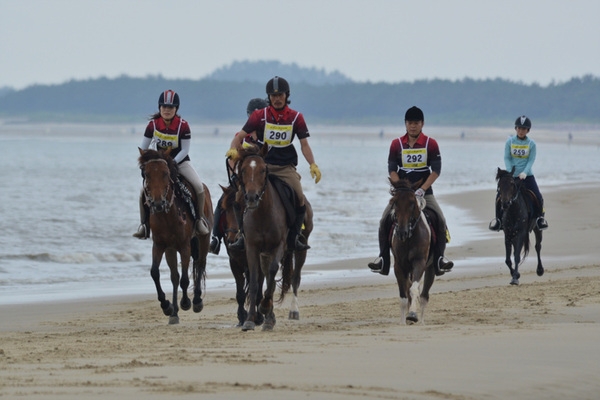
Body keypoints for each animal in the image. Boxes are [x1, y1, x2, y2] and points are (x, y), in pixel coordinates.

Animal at [137, 148, 213, 324]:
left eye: (165, 173)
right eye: (146, 174)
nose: (158, 204)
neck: (166, 215)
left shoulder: (184, 245)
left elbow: (185, 279)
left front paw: (186, 303)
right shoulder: (159, 245)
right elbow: (155, 272)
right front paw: (167, 306)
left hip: (203, 239)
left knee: (200, 265)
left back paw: (197, 301)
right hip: (170, 249)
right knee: (174, 276)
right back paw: (174, 313)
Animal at [233, 144, 302, 332]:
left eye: (263, 170)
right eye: (243, 169)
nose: (251, 197)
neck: (263, 213)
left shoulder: (279, 245)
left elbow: (272, 272)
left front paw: (264, 307)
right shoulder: (252, 248)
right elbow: (255, 281)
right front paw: (250, 320)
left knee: (290, 277)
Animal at [390, 180, 436, 324]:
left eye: (412, 202)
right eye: (394, 202)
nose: (402, 232)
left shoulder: (419, 262)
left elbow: (414, 289)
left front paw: (412, 315)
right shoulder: (399, 266)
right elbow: (403, 295)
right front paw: (403, 321)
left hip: (430, 268)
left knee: (424, 295)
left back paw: (421, 321)